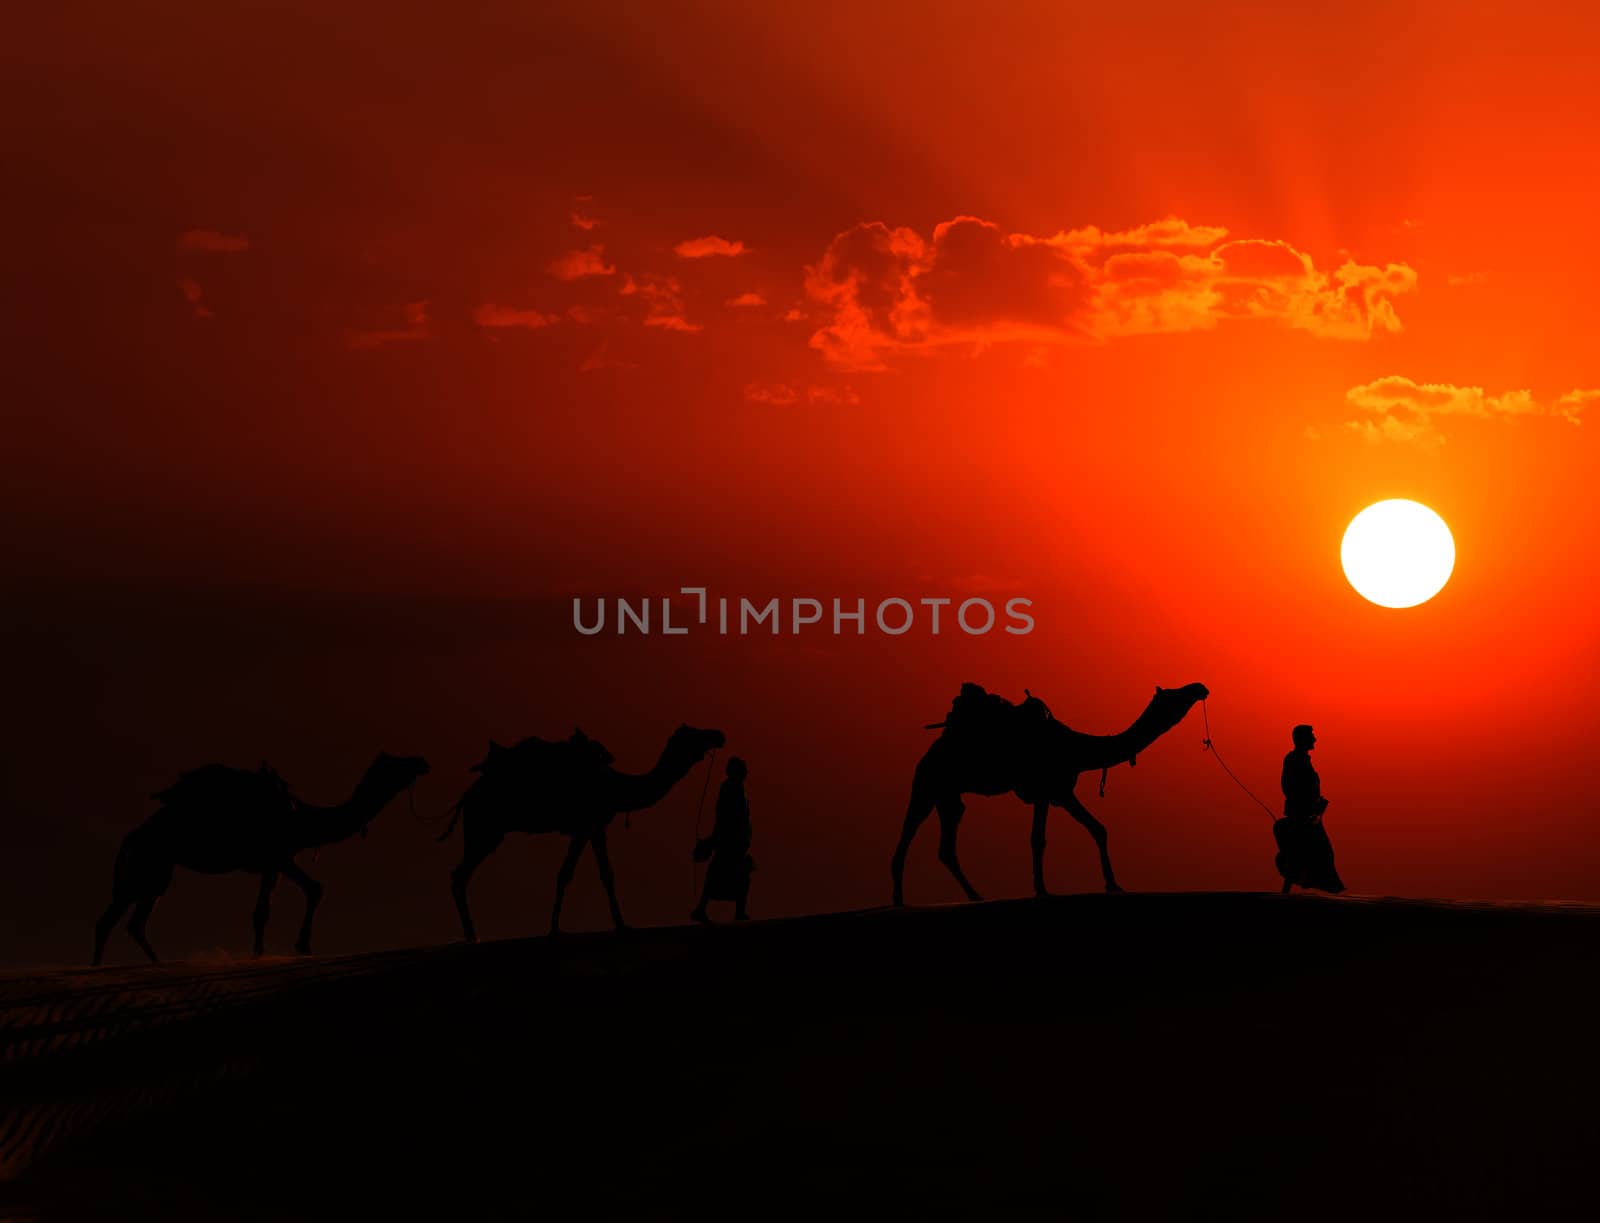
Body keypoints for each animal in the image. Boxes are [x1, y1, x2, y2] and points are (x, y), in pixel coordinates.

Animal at [438, 720, 726, 941]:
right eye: (694, 734)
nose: (718, 734)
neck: (616, 787)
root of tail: (466, 797)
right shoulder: (583, 825)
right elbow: (565, 873)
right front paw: (554, 929)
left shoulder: (597, 826)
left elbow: (607, 874)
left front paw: (622, 924)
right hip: (486, 829)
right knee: (459, 875)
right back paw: (471, 934)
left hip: (486, 831)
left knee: (459, 875)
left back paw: (471, 933)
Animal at [889, 681, 1209, 902]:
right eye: (1174, 695)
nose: (1199, 687)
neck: (1077, 748)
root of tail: (932, 750)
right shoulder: (1047, 791)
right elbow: (1038, 839)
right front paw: (1042, 889)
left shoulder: (1060, 792)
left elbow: (1097, 828)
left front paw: (1113, 884)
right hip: (927, 783)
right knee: (907, 836)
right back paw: (900, 900)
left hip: (948, 795)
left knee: (946, 843)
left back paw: (975, 895)